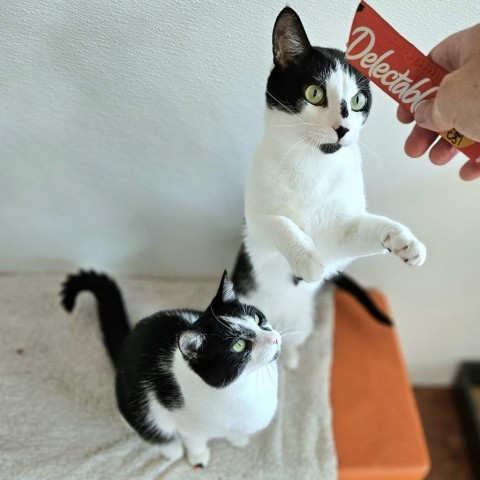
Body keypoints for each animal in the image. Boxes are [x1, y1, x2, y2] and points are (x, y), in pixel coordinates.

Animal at [59, 270, 282, 468]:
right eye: (239, 346)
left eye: (257, 319)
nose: (275, 338)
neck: (244, 386)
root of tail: (126, 343)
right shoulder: (187, 425)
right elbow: (194, 441)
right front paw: (198, 457)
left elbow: (235, 431)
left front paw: (238, 439)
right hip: (136, 405)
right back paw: (171, 450)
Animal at [232, 7, 424, 370]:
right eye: (314, 93)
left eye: (358, 100)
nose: (343, 127)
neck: (313, 166)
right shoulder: (256, 226)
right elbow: (279, 224)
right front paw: (307, 258)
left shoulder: (338, 237)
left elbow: (364, 228)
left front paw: (404, 241)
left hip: (302, 320)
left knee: (289, 339)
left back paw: (289, 357)